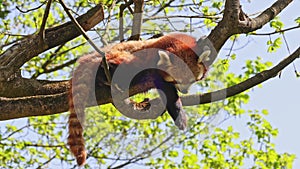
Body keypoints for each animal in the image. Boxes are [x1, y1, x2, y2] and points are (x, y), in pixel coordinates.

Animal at [68, 32, 211, 165]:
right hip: (117, 57)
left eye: (192, 80)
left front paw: (204, 41)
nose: (185, 91)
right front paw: (180, 116)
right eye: (177, 80)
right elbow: (167, 92)